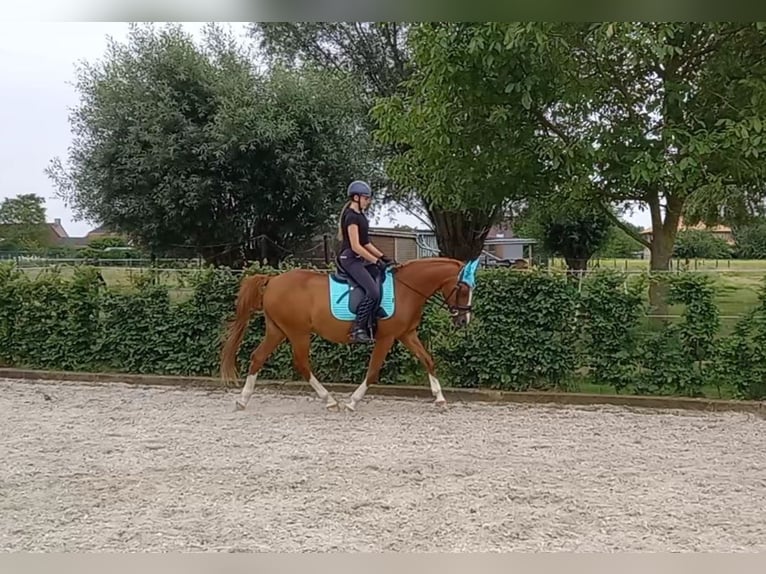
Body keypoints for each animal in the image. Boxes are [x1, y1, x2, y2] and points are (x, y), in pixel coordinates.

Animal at [218, 258, 480, 414]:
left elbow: (428, 360)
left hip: (277, 330)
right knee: (301, 363)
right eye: (463, 288)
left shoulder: (406, 334)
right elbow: (373, 372)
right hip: (297, 332)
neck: (407, 288)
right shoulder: (386, 338)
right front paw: (353, 401)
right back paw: (330, 400)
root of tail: (273, 280)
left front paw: (440, 398)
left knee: (258, 357)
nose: (463, 320)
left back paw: (243, 399)